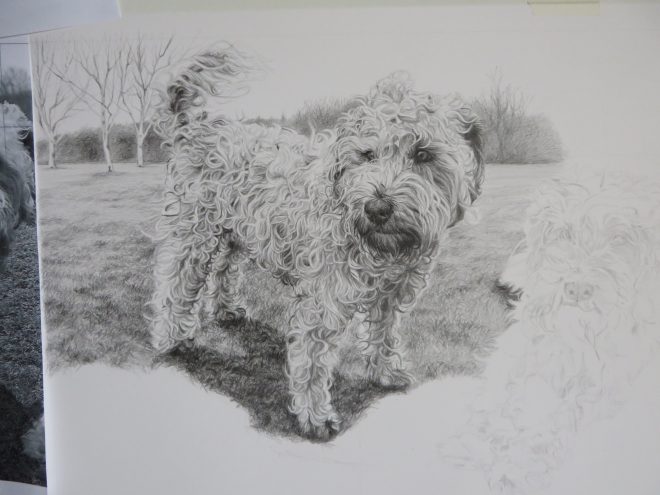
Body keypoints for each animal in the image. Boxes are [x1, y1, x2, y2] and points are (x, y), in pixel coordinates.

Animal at [149, 48, 484, 438]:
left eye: (423, 154)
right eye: (367, 155)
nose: (377, 208)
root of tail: (197, 127)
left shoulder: (389, 296)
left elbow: (383, 336)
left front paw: (385, 372)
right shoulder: (321, 305)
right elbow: (310, 364)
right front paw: (314, 416)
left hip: (233, 233)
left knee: (225, 269)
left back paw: (227, 309)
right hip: (192, 237)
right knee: (174, 286)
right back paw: (170, 340)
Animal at [444, 174, 660, 493]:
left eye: (620, 240)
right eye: (563, 233)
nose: (577, 288)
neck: (576, 337)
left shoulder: (604, 391)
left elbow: (557, 422)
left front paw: (515, 466)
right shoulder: (517, 356)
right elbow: (495, 397)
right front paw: (473, 440)